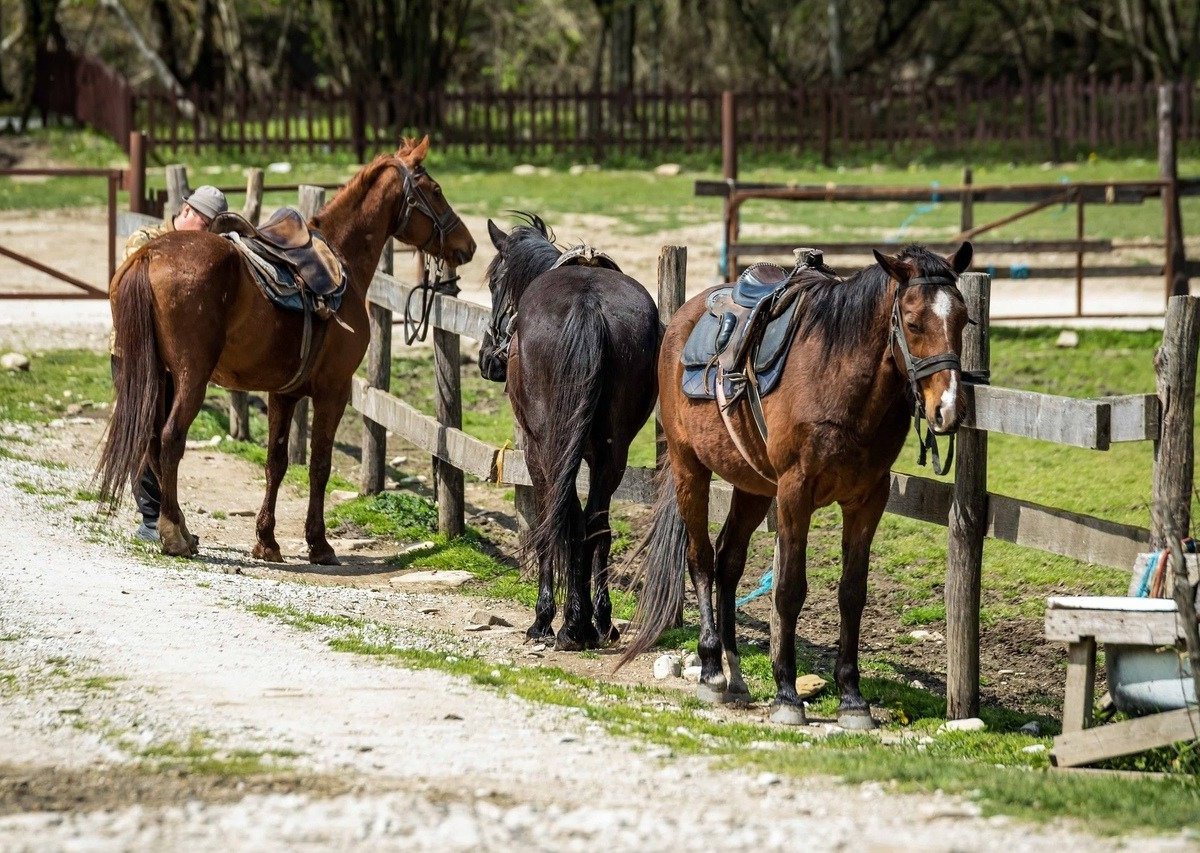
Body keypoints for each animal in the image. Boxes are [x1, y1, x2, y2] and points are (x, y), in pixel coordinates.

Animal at [97, 138, 472, 566]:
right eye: (436, 191)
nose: (468, 245)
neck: (342, 260)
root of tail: (148, 254)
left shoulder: (284, 393)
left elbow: (276, 463)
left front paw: (267, 540)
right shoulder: (333, 391)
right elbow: (320, 465)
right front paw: (319, 543)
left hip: (157, 377)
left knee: (149, 444)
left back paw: (181, 530)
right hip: (190, 377)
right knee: (170, 439)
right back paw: (175, 534)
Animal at [475, 217, 657, 652]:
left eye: (494, 282)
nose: (488, 358)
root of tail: (588, 305)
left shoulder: (534, 449)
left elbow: (551, 523)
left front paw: (548, 619)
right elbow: (588, 528)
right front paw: (593, 618)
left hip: (548, 448)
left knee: (561, 521)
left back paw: (564, 624)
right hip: (613, 453)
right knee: (596, 525)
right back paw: (596, 623)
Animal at [619, 243, 974, 729]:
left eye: (963, 320)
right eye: (915, 322)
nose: (948, 410)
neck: (838, 378)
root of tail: (683, 317)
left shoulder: (868, 499)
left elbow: (852, 593)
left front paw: (852, 698)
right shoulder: (794, 492)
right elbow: (789, 590)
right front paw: (787, 694)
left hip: (752, 486)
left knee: (728, 561)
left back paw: (736, 675)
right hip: (689, 466)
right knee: (701, 559)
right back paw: (711, 671)